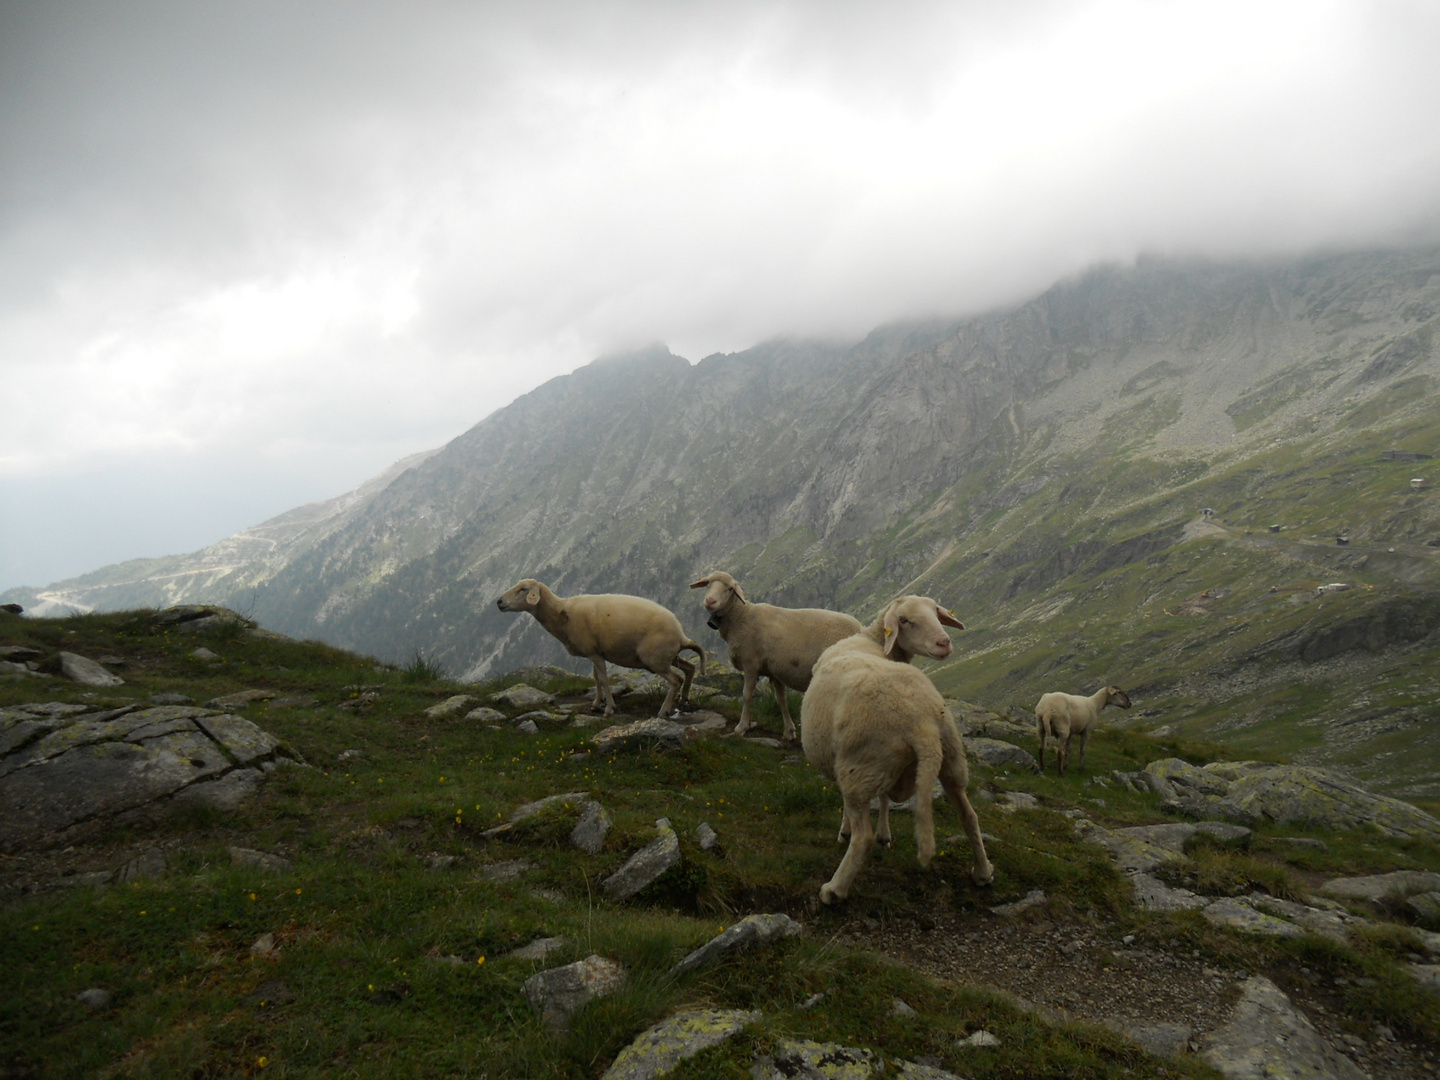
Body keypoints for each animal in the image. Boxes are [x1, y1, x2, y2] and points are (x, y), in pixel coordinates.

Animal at [495, 578, 708, 722]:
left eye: (523, 589)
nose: (499, 602)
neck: (561, 612)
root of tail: (680, 634)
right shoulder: (594, 653)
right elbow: (596, 678)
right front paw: (597, 704)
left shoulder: (595, 653)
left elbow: (604, 679)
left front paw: (609, 708)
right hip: (667, 657)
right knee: (689, 669)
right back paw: (684, 699)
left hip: (655, 659)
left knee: (676, 680)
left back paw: (664, 711)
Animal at [688, 576, 858, 743]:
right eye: (708, 584)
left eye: (730, 589)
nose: (710, 600)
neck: (741, 616)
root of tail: (861, 630)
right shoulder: (775, 670)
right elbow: (781, 699)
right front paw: (789, 731)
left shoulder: (750, 664)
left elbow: (746, 695)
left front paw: (741, 727)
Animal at [800, 596, 990, 910]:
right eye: (904, 620)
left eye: (936, 613)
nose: (944, 642)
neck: (872, 640)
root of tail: (923, 722)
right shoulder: (883, 769)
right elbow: (886, 798)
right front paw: (884, 835)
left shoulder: (849, 761)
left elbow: (860, 808)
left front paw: (846, 830)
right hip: (949, 758)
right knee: (969, 815)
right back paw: (983, 872)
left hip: (859, 765)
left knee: (861, 837)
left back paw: (834, 889)